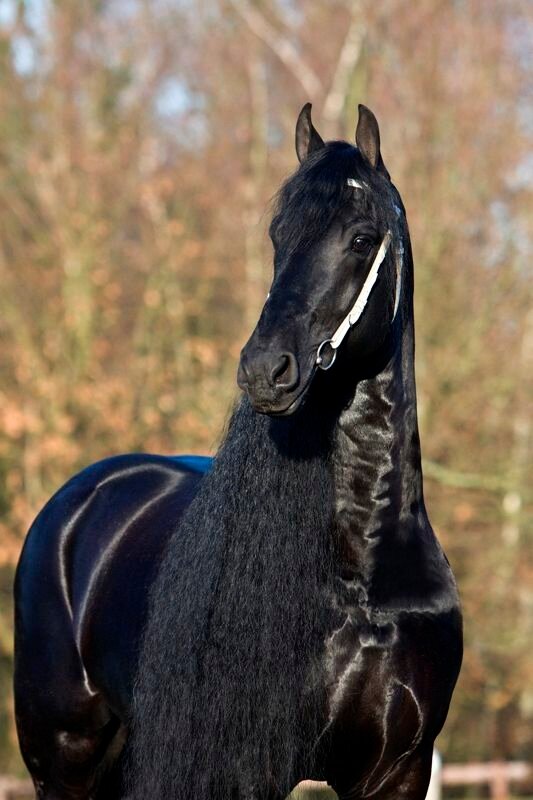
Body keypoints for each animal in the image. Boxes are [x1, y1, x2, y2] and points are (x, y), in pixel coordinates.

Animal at [14, 103, 462, 800]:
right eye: (278, 236)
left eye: (362, 239)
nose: (263, 369)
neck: (365, 578)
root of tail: (79, 499)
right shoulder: (249, 763)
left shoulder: (399, 771)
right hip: (63, 756)